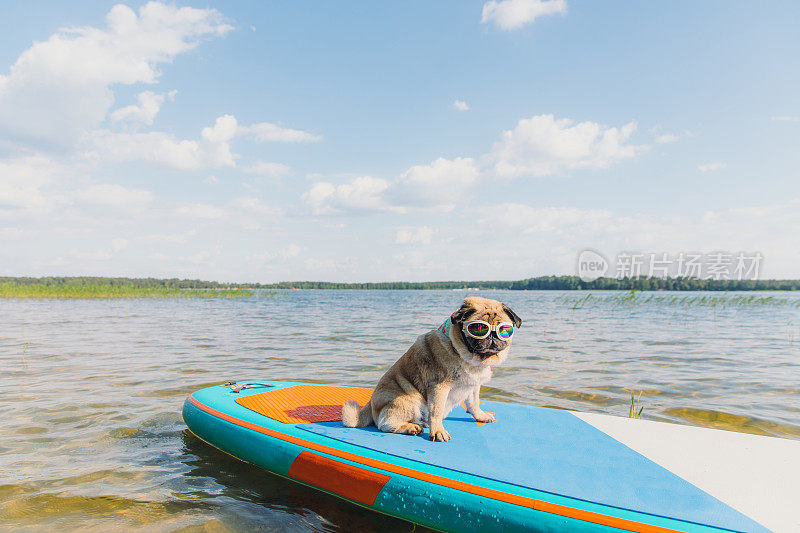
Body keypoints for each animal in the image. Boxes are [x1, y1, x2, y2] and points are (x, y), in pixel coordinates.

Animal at [340, 296, 520, 440]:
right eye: (479, 328)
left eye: (505, 329)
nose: (493, 337)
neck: (466, 357)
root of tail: (370, 406)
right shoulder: (439, 387)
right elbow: (436, 412)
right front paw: (438, 431)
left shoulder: (473, 386)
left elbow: (474, 403)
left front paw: (480, 416)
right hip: (410, 400)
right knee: (384, 424)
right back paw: (411, 427)